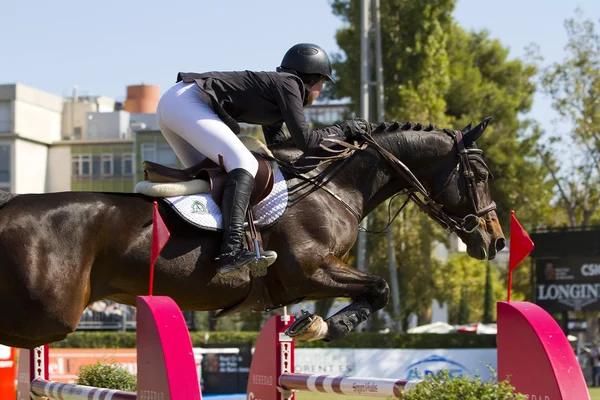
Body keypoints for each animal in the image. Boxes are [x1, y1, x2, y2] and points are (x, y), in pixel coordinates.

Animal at [0, 117, 506, 348]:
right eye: (480, 175)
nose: (496, 240)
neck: (332, 186)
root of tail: (7, 207)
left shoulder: (307, 280)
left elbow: (374, 289)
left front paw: (312, 323)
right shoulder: (310, 272)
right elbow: (378, 287)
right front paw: (324, 325)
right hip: (48, 315)